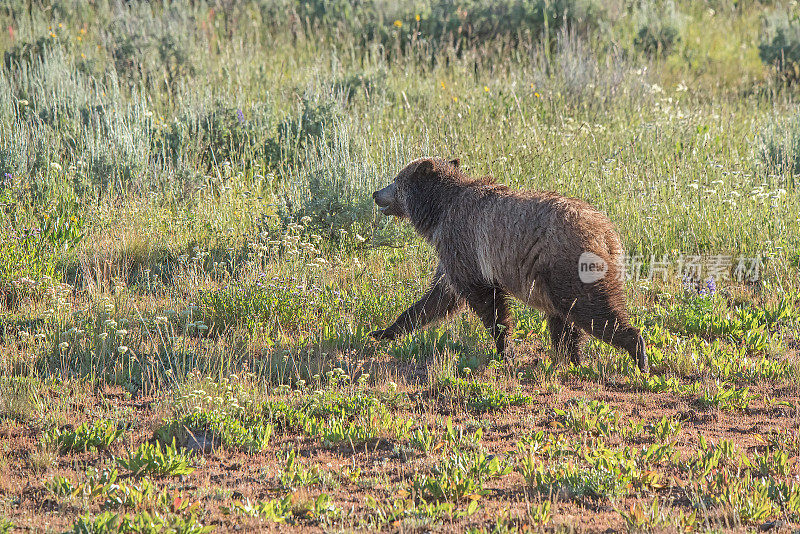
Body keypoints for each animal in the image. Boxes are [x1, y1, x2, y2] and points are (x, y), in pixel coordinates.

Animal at [372, 157, 648, 372]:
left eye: (396, 179)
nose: (376, 193)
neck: (438, 212)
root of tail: (606, 232)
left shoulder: (467, 244)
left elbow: (488, 304)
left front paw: (505, 351)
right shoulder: (454, 255)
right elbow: (436, 299)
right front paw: (384, 332)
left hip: (568, 266)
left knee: (593, 310)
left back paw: (638, 353)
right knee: (564, 319)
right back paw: (571, 359)